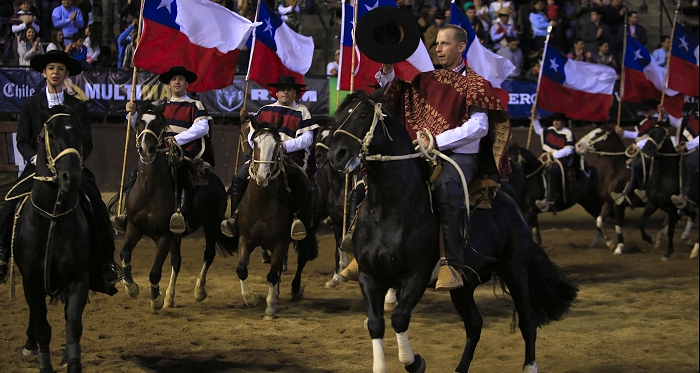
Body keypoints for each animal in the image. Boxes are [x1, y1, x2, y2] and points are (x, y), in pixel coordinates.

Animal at [13, 107, 90, 372]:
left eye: (80, 133)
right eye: (51, 135)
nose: (72, 178)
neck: (53, 217)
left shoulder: (78, 279)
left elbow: (73, 324)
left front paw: (72, 361)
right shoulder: (31, 283)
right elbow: (42, 328)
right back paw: (29, 344)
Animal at [116, 104, 234, 308]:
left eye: (158, 123)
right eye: (138, 123)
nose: (147, 150)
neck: (148, 190)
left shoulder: (164, 235)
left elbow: (155, 271)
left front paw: (156, 299)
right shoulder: (133, 228)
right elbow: (125, 254)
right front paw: (131, 288)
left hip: (211, 224)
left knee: (208, 254)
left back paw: (199, 291)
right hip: (178, 236)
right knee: (177, 261)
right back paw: (170, 296)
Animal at [238, 117, 320, 318]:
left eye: (276, 145)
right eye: (255, 142)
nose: (262, 175)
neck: (261, 203)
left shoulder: (281, 242)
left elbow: (272, 275)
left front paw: (269, 308)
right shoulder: (245, 238)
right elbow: (242, 269)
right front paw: (251, 299)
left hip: (307, 236)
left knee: (301, 260)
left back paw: (295, 290)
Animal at [326, 91, 576, 372]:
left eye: (362, 115)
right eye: (337, 117)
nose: (336, 155)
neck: (390, 211)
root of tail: (513, 208)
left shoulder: (416, 275)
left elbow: (400, 318)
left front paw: (415, 362)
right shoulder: (370, 276)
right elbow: (375, 324)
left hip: (514, 270)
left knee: (527, 318)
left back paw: (530, 366)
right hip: (464, 285)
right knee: (475, 324)